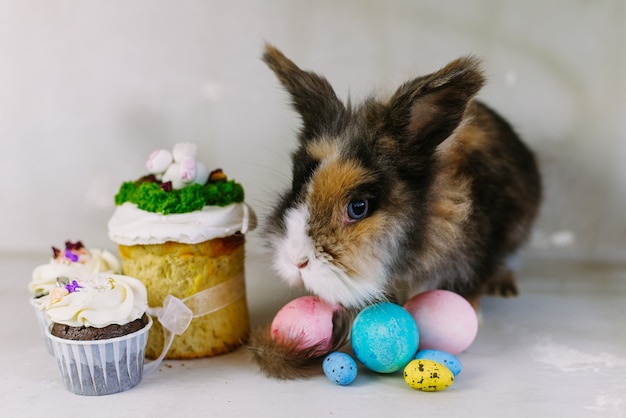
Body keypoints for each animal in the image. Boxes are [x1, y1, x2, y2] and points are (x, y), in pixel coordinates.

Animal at [249, 45, 540, 378]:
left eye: (358, 207)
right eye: (295, 186)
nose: (296, 261)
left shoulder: (478, 253)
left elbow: (468, 287)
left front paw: (472, 314)